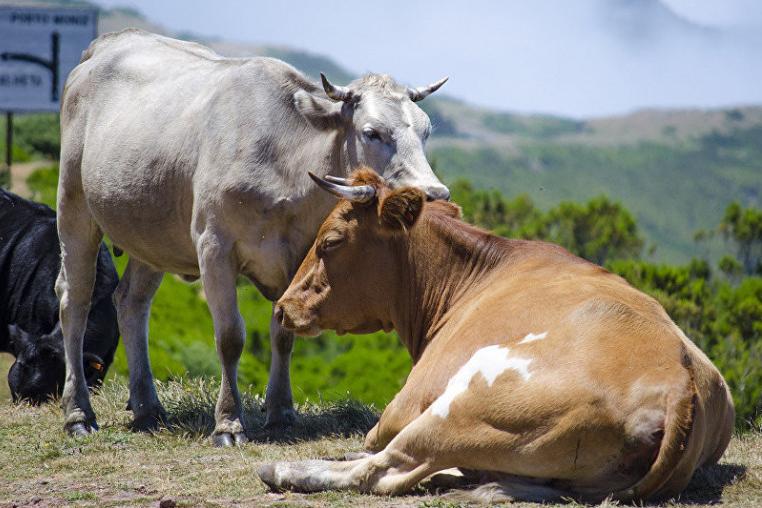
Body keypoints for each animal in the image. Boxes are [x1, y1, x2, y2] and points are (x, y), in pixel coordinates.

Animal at [56, 29, 448, 444]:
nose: (435, 194)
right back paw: (78, 413)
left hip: (151, 235)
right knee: (74, 301)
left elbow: (284, 332)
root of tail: (106, 45)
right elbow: (230, 336)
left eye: (426, 131)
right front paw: (228, 422)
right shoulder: (214, 247)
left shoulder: (298, 256)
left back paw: (147, 408)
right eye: (372, 132)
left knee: (131, 302)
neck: (285, 165)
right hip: (74, 206)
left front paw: (281, 413)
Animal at [258, 170, 732, 500]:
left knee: (383, 469)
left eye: (330, 241)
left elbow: (375, 441)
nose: (282, 307)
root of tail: (678, 382)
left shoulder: (403, 405)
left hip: (469, 398)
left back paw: (283, 470)